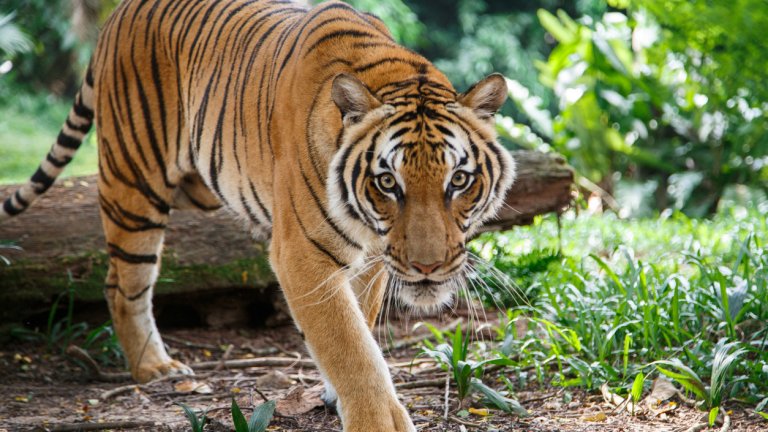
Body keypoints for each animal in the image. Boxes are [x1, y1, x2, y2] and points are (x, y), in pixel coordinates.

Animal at [1, 1, 516, 430]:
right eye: (388, 183)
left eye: (459, 180)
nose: (428, 267)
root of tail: (119, 13)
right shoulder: (301, 254)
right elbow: (349, 345)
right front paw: (377, 421)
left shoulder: (373, 258)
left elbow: (359, 324)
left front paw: (336, 395)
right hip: (134, 185)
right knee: (122, 282)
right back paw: (153, 366)